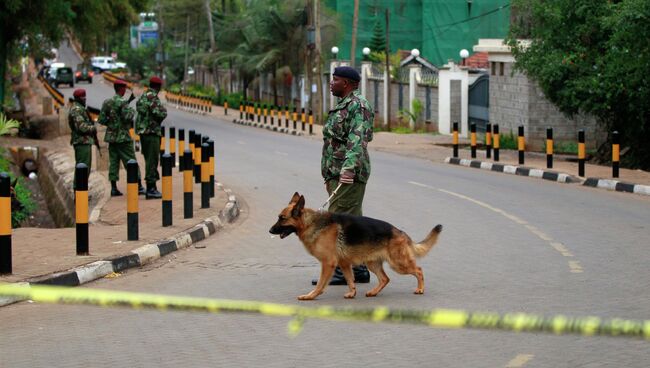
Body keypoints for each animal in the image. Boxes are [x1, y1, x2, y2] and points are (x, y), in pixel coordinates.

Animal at [268, 193, 440, 300]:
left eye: (282, 218)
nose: (269, 231)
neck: (312, 223)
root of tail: (400, 232)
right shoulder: (344, 264)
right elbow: (350, 280)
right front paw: (352, 293)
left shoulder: (328, 263)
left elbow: (321, 284)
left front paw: (310, 296)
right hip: (372, 263)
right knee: (385, 279)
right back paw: (373, 292)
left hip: (398, 264)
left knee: (418, 270)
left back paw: (420, 289)